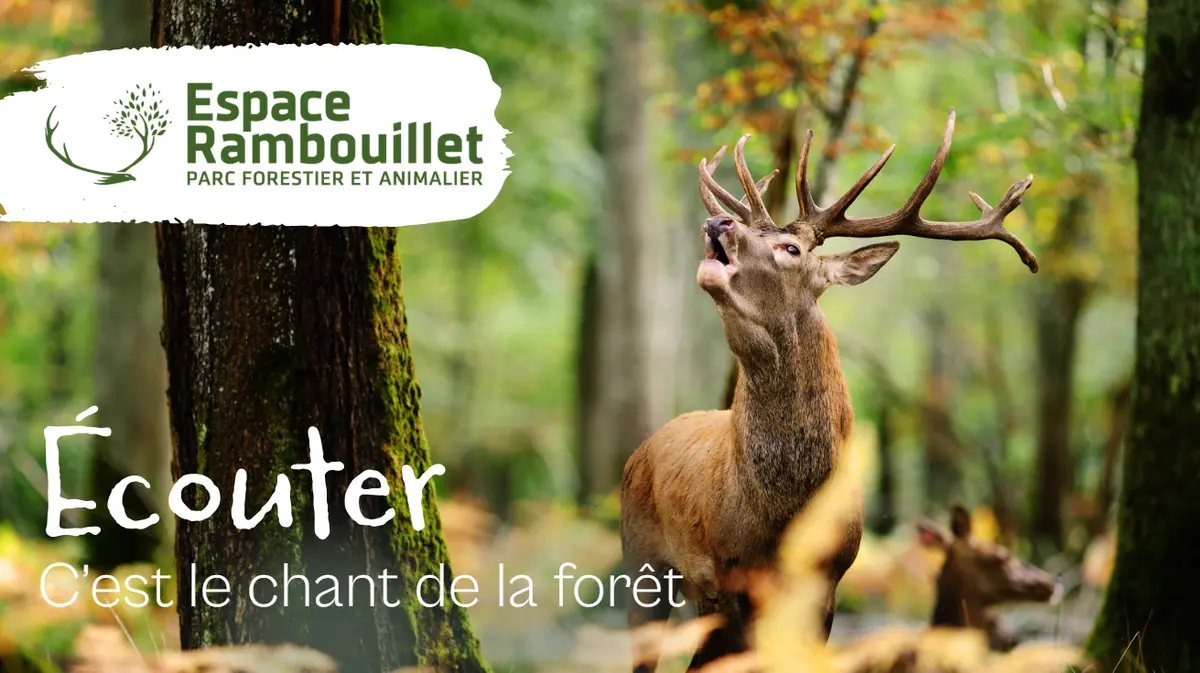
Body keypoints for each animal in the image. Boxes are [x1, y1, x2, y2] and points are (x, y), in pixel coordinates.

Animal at [619, 108, 1039, 673]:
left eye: (791, 247)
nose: (719, 222)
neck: (785, 511)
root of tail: (640, 449)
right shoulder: (729, 575)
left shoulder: (829, 583)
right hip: (642, 561)